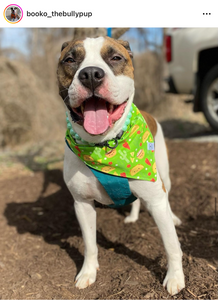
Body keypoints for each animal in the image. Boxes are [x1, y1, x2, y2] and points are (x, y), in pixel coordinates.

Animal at [57, 35, 185, 296]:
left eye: (115, 57)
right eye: (70, 60)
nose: (91, 74)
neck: (106, 146)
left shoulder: (156, 200)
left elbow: (171, 244)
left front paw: (175, 277)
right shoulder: (82, 204)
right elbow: (90, 244)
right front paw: (88, 272)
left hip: (163, 175)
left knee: (167, 197)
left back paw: (174, 217)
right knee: (135, 202)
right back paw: (133, 217)